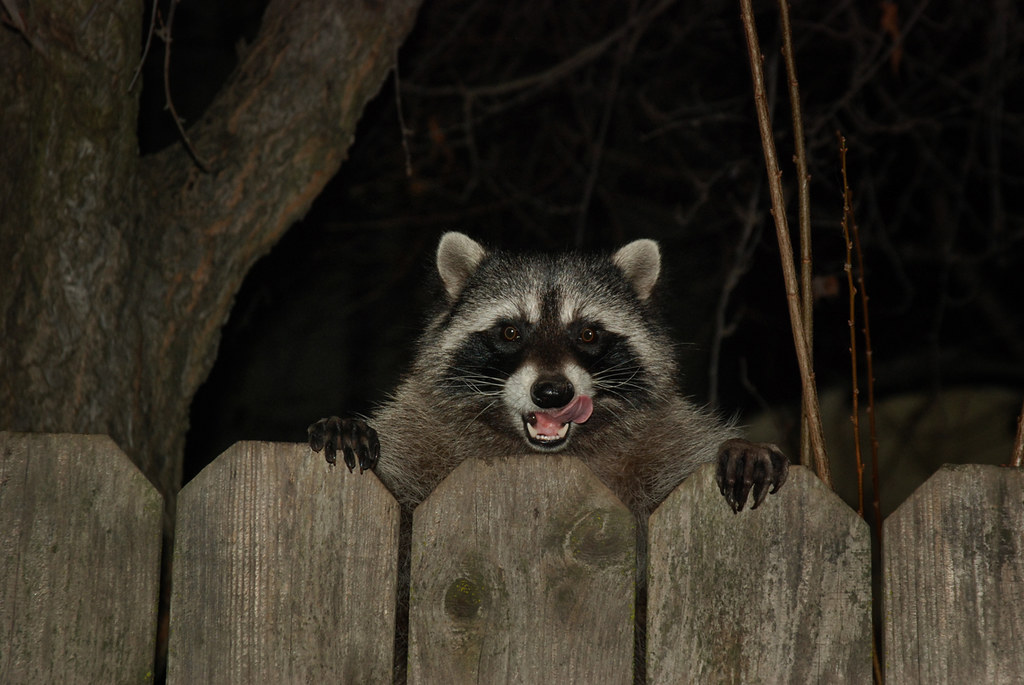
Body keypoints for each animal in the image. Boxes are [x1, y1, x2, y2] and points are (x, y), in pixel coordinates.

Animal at [309, 232, 787, 519]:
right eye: (510, 331)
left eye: (588, 333)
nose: (554, 393)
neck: (542, 456)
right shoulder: (425, 429)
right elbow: (400, 477)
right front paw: (351, 428)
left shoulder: (661, 437)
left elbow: (687, 455)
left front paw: (739, 447)